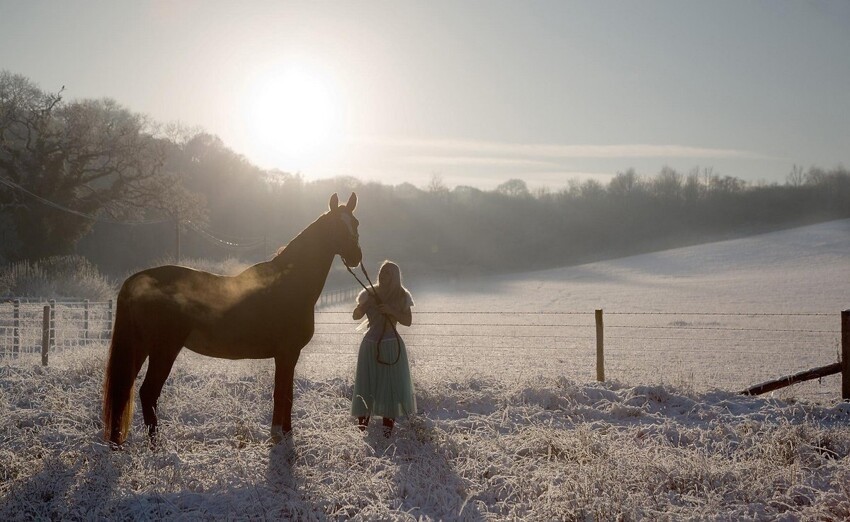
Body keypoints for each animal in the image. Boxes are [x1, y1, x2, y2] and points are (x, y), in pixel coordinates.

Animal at [103, 191, 362, 442]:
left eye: (356, 223)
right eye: (336, 226)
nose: (356, 256)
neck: (288, 284)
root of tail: (138, 280)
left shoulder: (285, 355)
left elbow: (282, 393)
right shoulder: (288, 353)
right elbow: (283, 394)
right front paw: (283, 435)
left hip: (140, 346)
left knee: (125, 388)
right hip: (163, 349)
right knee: (148, 392)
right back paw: (155, 446)